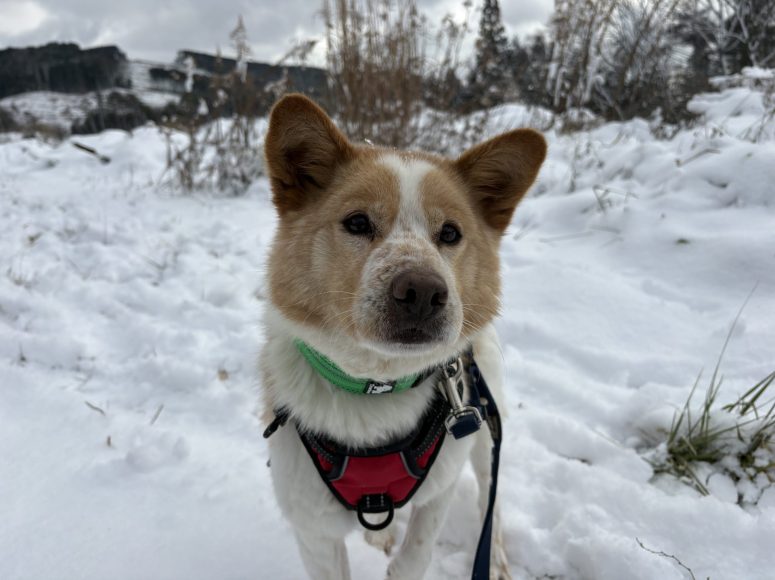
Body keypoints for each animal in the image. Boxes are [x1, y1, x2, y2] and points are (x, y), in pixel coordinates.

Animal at [260, 94, 546, 580]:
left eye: (450, 233)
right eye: (357, 222)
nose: (423, 292)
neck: (376, 389)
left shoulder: (440, 487)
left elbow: (416, 556)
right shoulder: (312, 525)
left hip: (485, 425)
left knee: (491, 493)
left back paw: (496, 558)